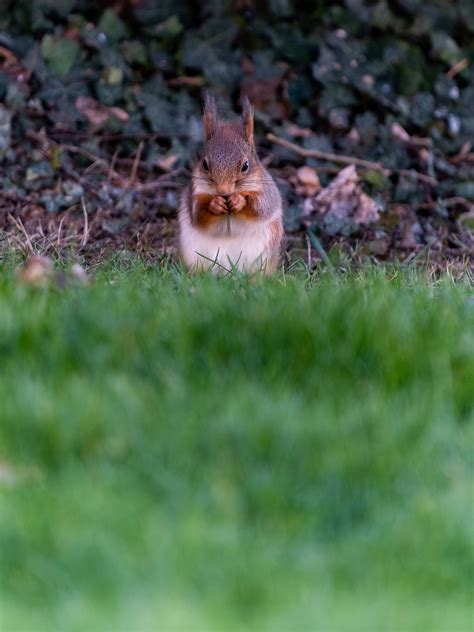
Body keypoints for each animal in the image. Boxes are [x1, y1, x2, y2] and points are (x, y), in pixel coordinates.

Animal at [177, 95, 282, 272]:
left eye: (246, 165)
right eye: (204, 164)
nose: (223, 191)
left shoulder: (267, 192)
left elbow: (260, 207)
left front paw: (239, 200)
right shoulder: (195, 193)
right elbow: (197, 213)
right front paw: (215, 203)